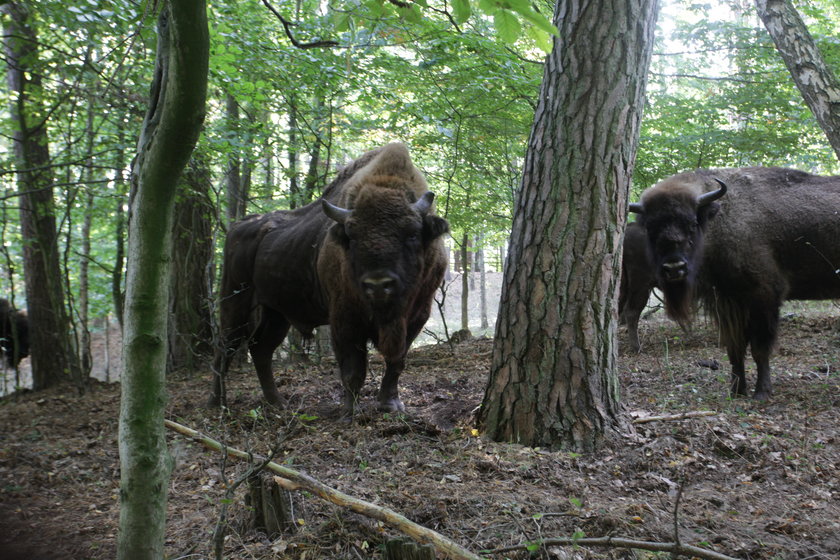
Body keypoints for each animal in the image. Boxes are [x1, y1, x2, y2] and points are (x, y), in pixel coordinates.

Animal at [213, 142, 450, 418]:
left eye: (412, 233)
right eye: (352, 235)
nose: (378, 285)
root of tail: (237, 227)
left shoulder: (416, 316)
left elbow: (396, 362)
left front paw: (390, 404)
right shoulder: (344, 318)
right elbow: (353, 368)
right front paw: (349, 411)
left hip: (277, 312)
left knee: (261, 349)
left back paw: (277, 403)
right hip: (235, 302)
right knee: (225, 348)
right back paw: (217, 403)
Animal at [632, 166, 840, 398]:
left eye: (692, 223)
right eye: (650, 228)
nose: (674, 268)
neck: (719, 219)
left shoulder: (764, 298)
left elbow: (759, 349)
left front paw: (761, 393)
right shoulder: (727, 303)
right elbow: (735, 349)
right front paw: (736, 392)